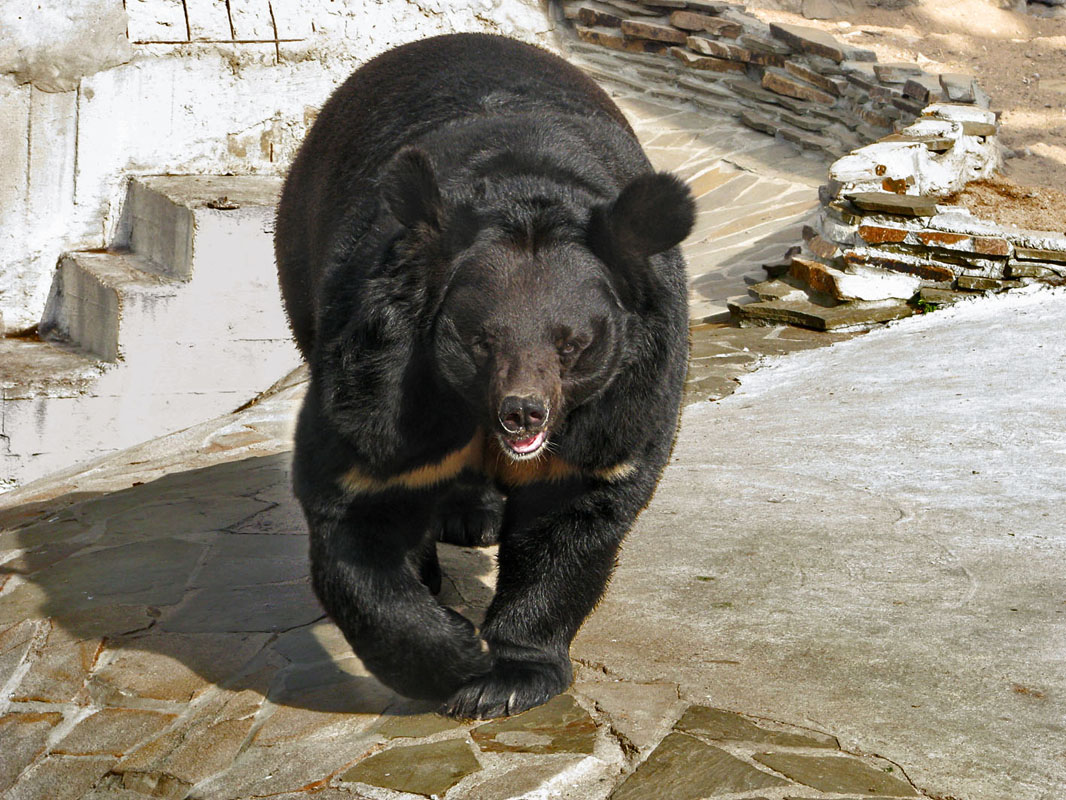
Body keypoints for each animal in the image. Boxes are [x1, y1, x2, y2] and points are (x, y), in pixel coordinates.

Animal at [272, 32, 690, 721]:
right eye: (479, 340)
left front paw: (511, 676)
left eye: (573, 343)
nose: (523, 413)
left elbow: (574, 518)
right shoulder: (381, 382)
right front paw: (458, 657)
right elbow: (356, 502)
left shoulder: (621, 404)